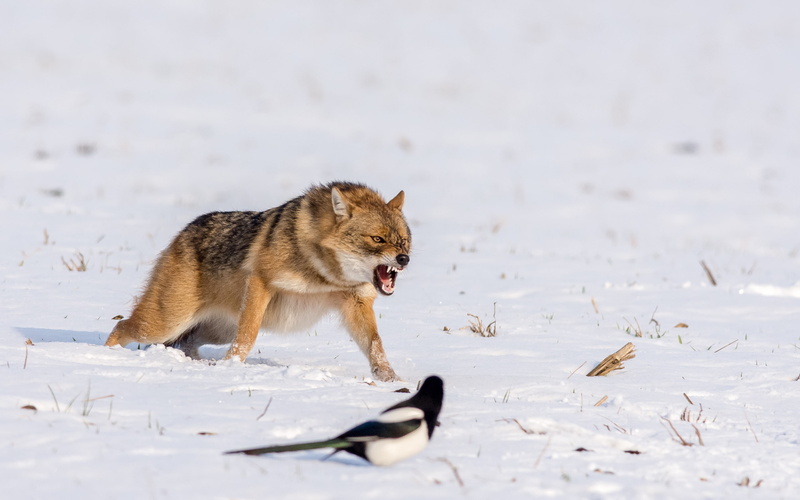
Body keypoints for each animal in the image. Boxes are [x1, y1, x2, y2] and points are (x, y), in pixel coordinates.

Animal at [104, 182, 411, 381]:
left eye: (404, 240)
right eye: (377, 239)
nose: (404, 258)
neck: (326, 273)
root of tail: (183, 232)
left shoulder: (356, 301)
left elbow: (375, 346)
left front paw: (391, 379)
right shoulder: (260, 283)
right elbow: (248, 336)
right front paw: (232, 367)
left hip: (213, 330)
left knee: (185, 345)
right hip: (164, 324)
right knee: (120, 326)